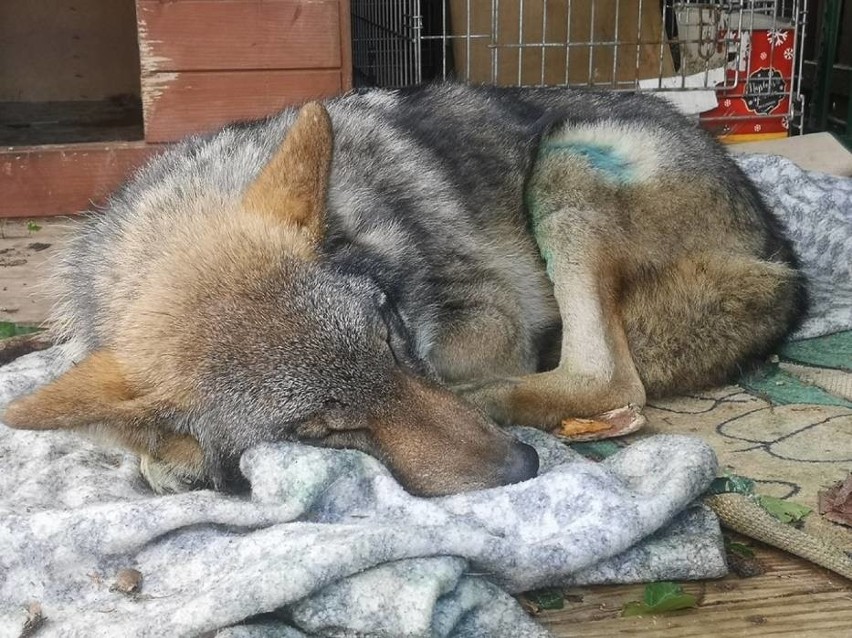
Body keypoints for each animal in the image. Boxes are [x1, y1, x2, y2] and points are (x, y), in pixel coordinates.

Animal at [1, 82, 804, 498]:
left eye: (393, 341)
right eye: (322, 430)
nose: (519, 468)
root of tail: (779, 262)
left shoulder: (489, 316)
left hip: (566, 161)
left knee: (608, 380)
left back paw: (503, 400)